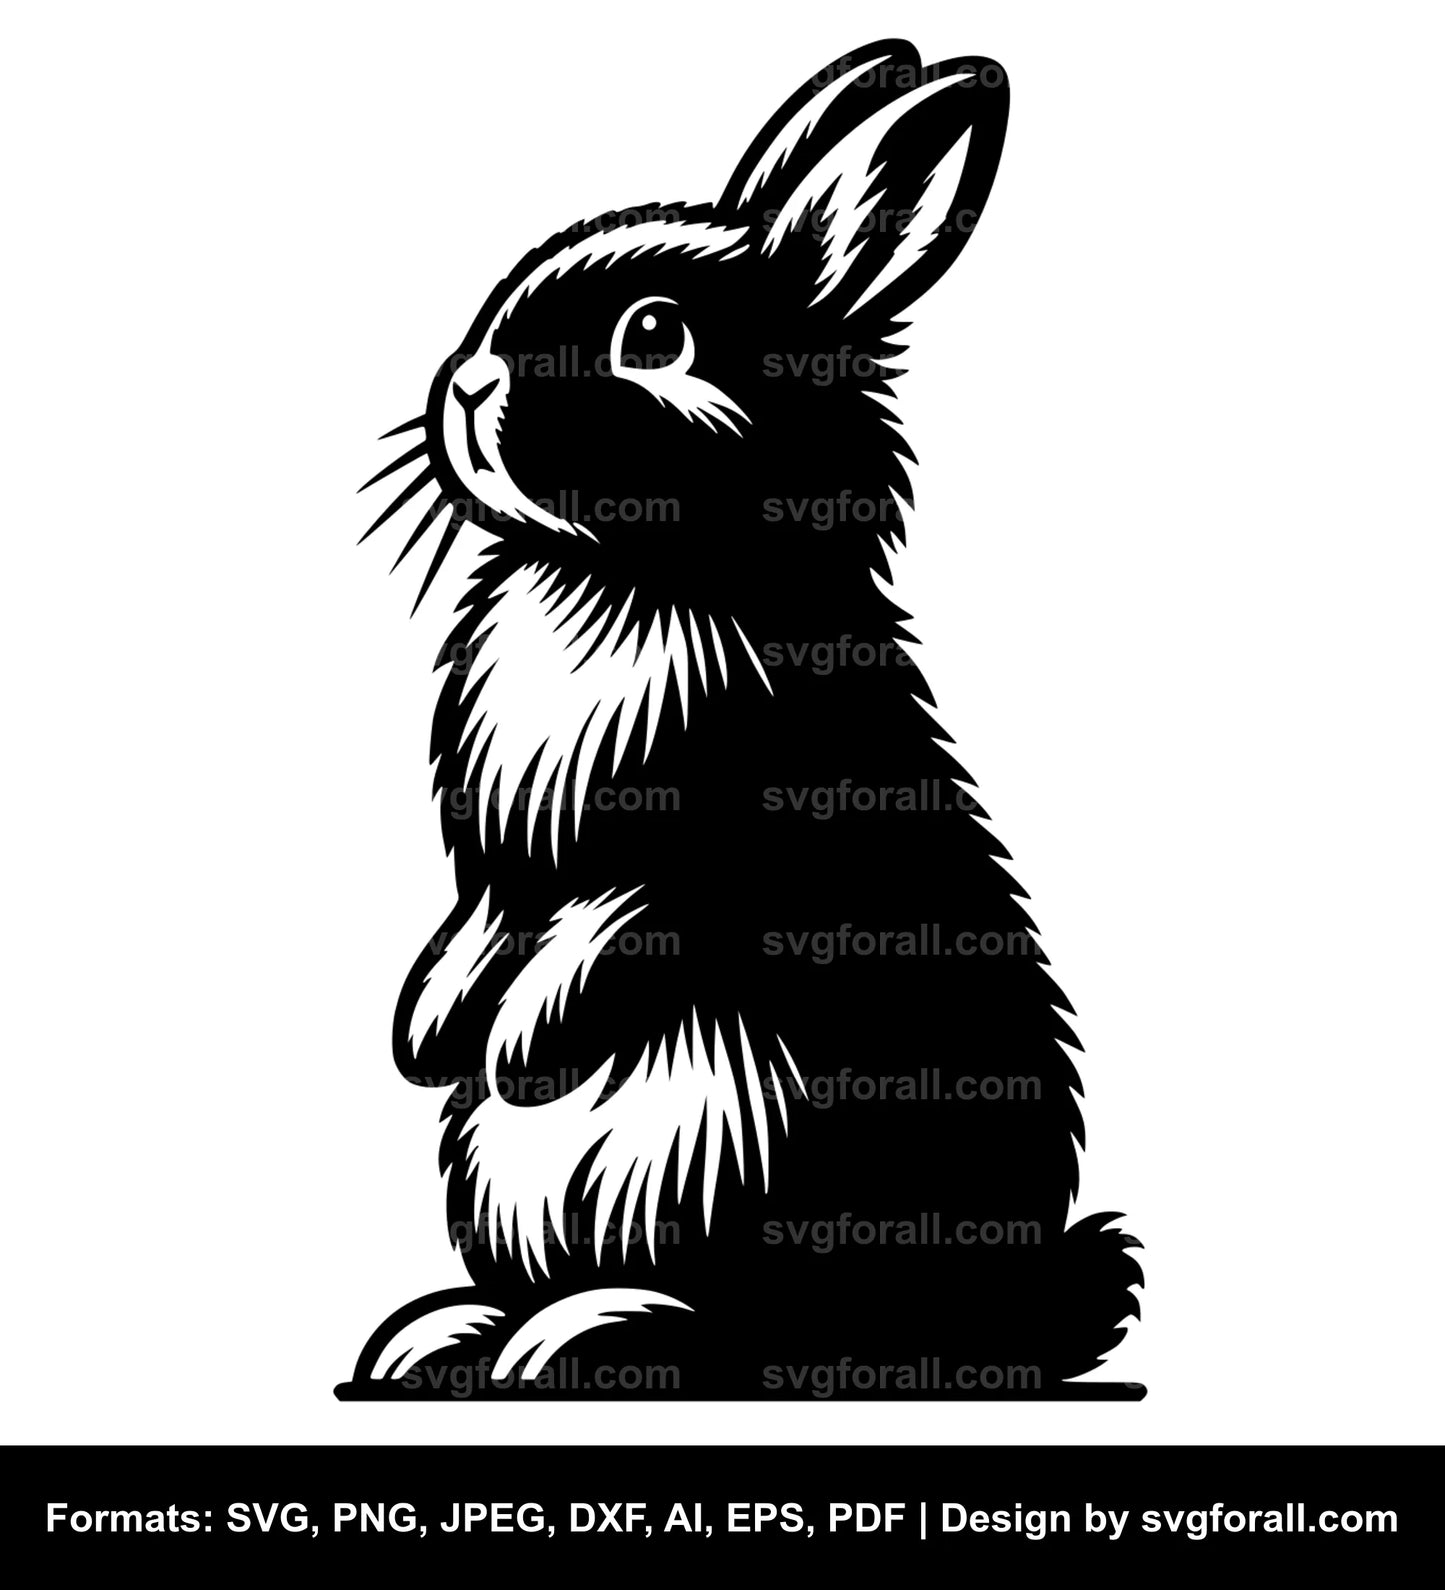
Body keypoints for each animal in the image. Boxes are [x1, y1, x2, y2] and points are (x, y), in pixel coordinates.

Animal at [344, 39, 1143, 1399]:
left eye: (655, 336)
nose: (465, 387)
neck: (626, 579)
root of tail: (1009, 1315)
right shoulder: (496, 870)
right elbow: (477, 927)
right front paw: (429, 1033)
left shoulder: (701, 846)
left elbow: (614, 935)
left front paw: (513, 1047)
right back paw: (444, 1337)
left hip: (755, 1167)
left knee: (775, 1339)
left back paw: (591, 1336)